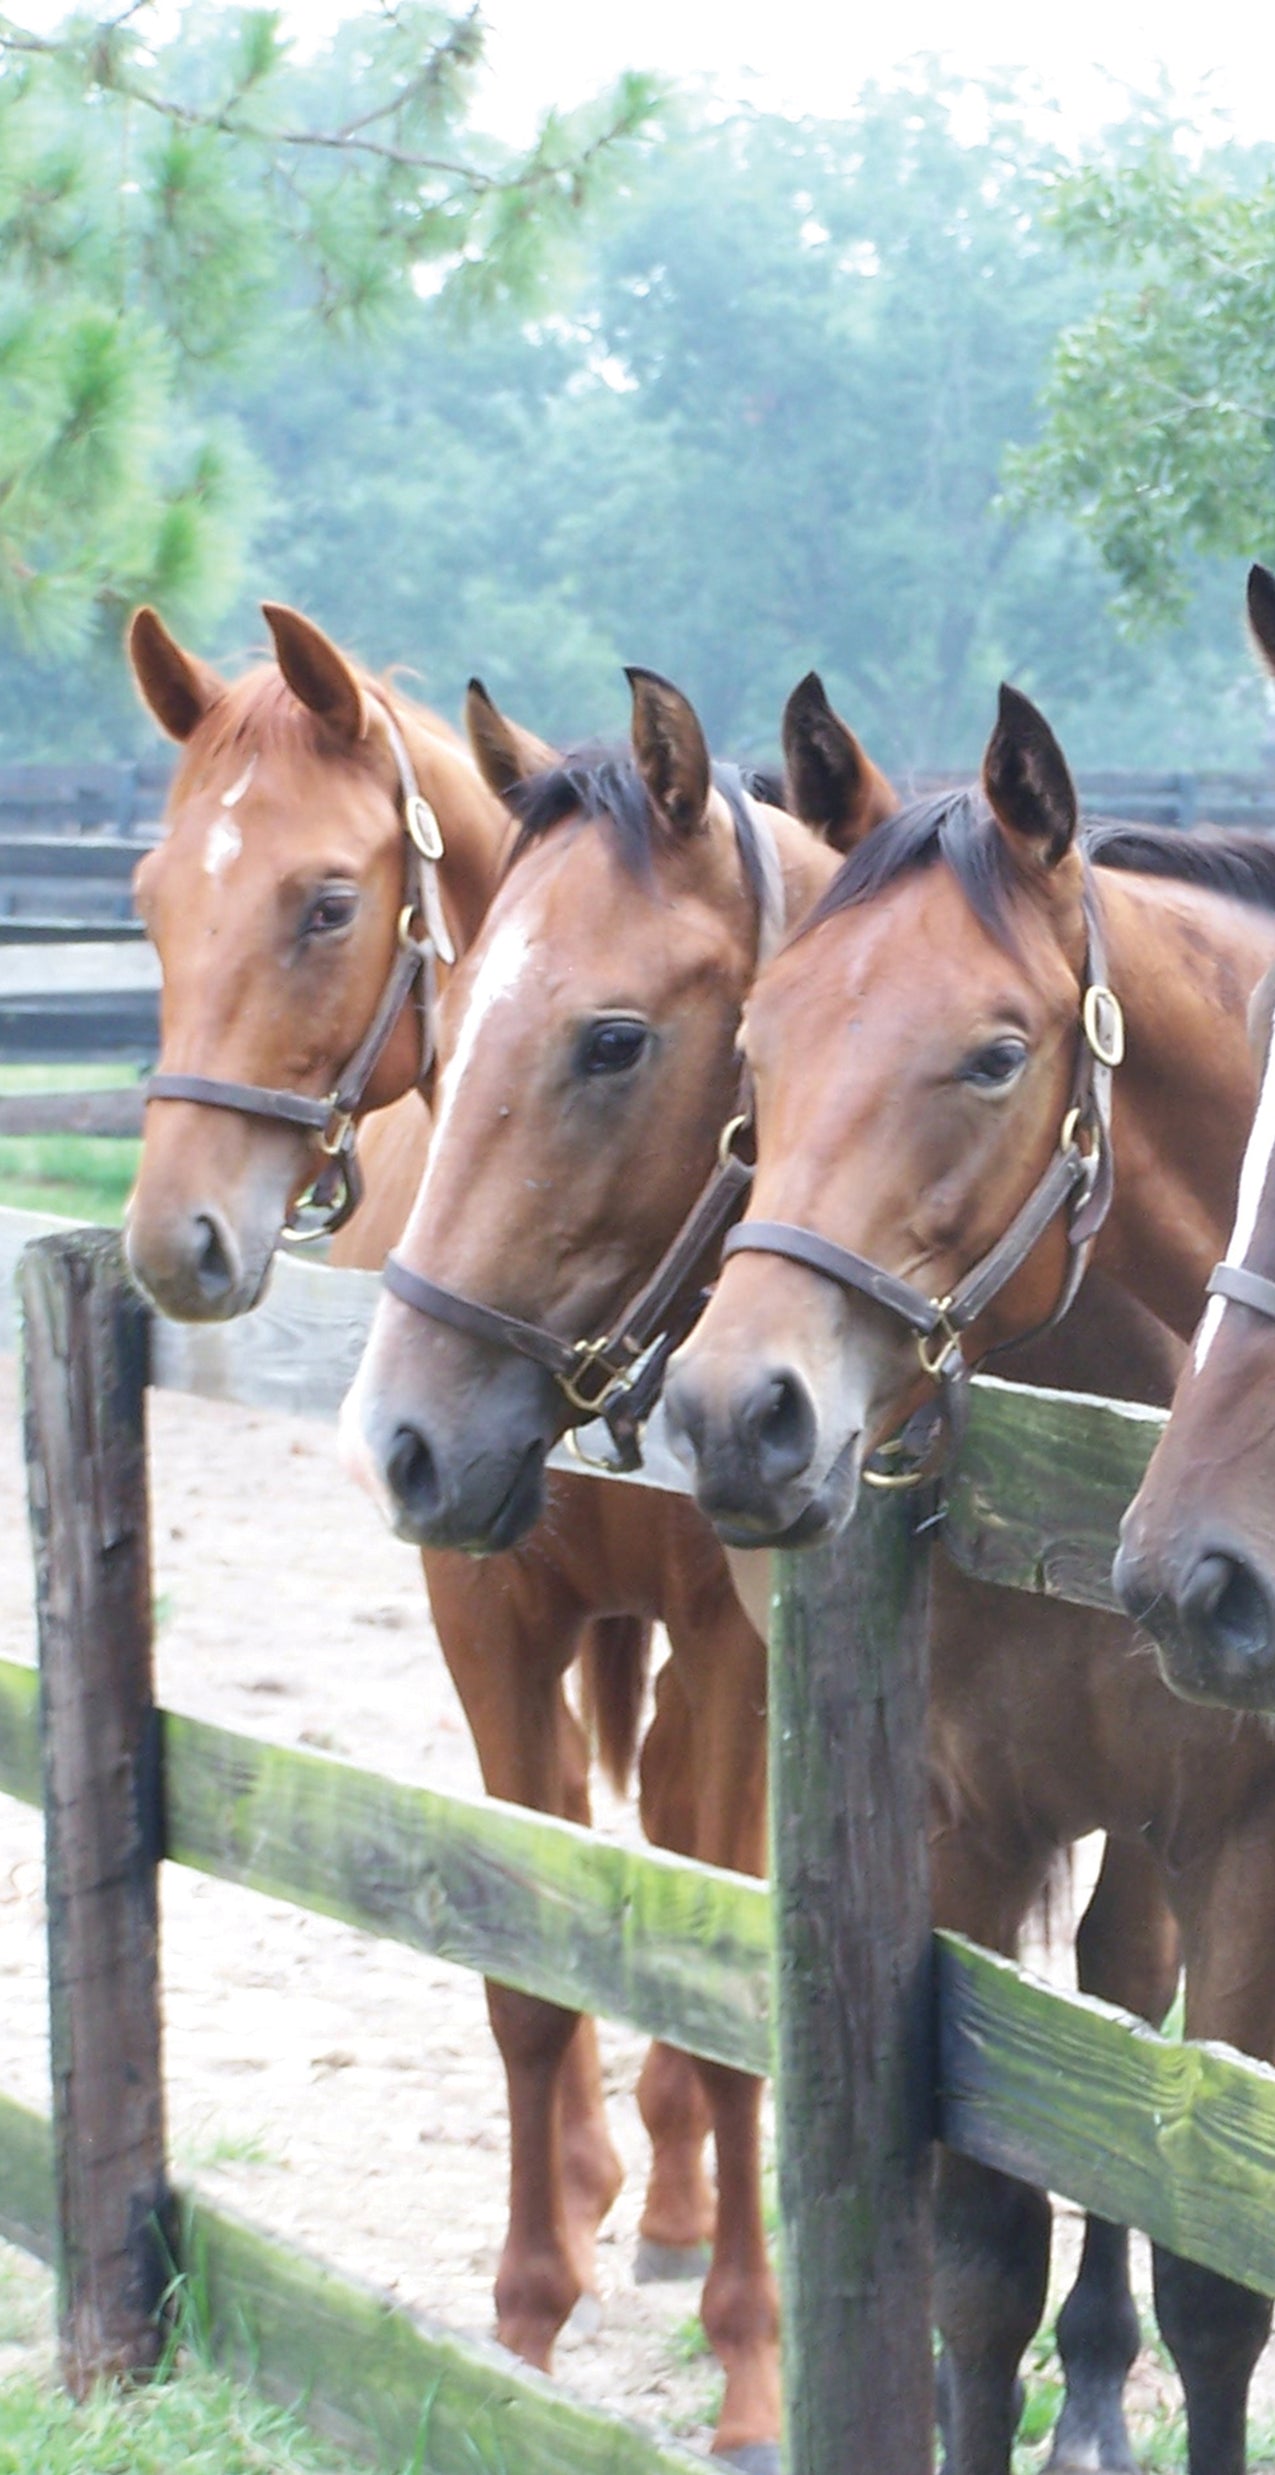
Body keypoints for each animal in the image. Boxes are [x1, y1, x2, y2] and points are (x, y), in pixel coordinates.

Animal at [663, 678, 1275, 2475]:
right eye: (759, 1041)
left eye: (996, 1055)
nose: (735, 1411)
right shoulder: (964, 1833)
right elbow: (981, 2256)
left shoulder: (1237, 1844)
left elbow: (1214, 2255)